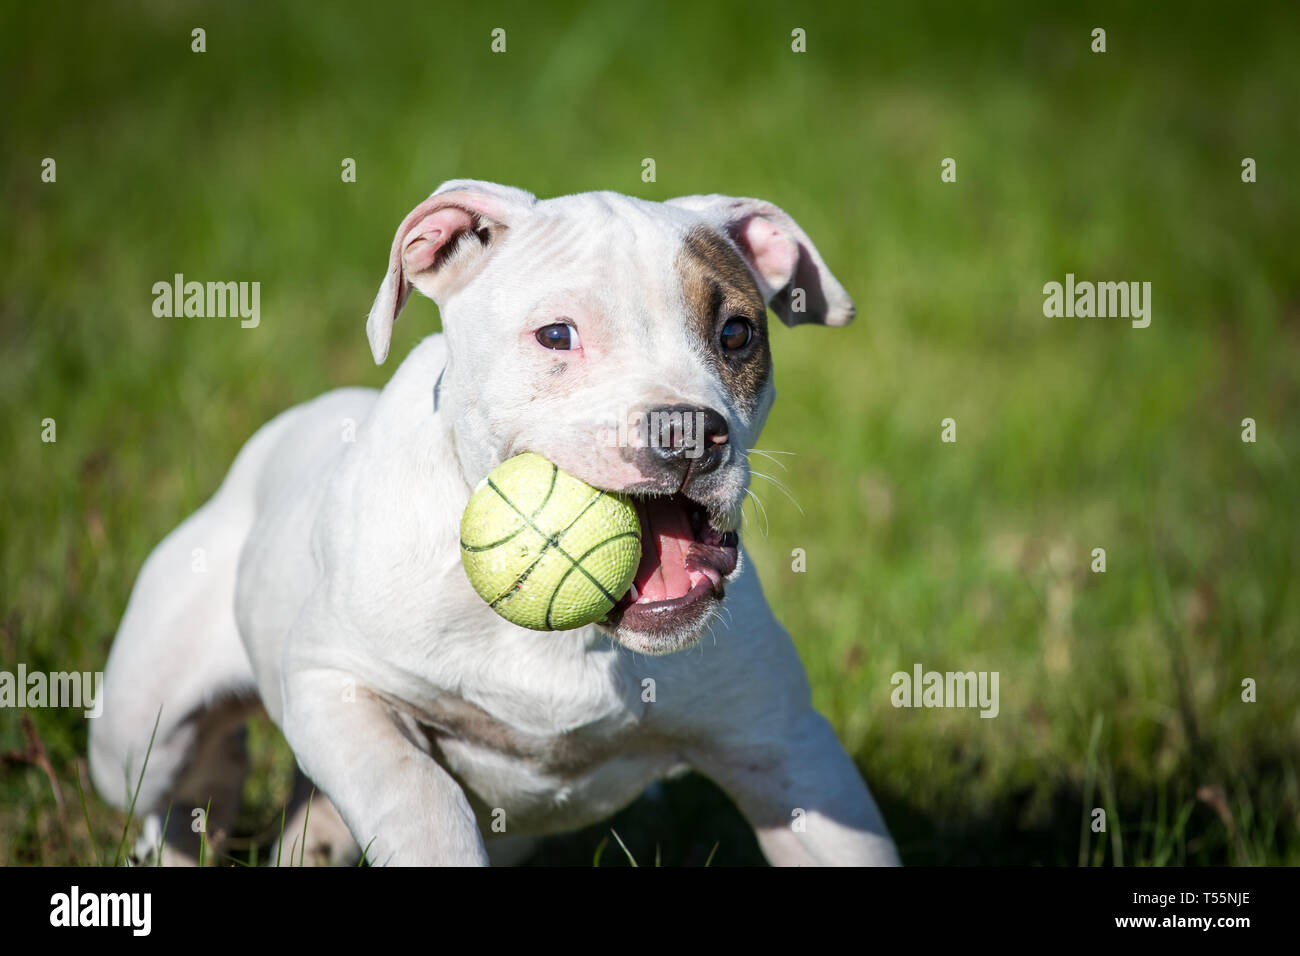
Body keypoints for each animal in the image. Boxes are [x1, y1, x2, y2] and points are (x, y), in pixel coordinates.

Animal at [91, 179, 899, 868]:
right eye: (557, 336)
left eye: (736, 334)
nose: (687, 431)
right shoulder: (333, 684)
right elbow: (420, 798)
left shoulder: (785, 748)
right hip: (136, 731)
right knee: (172, 794)